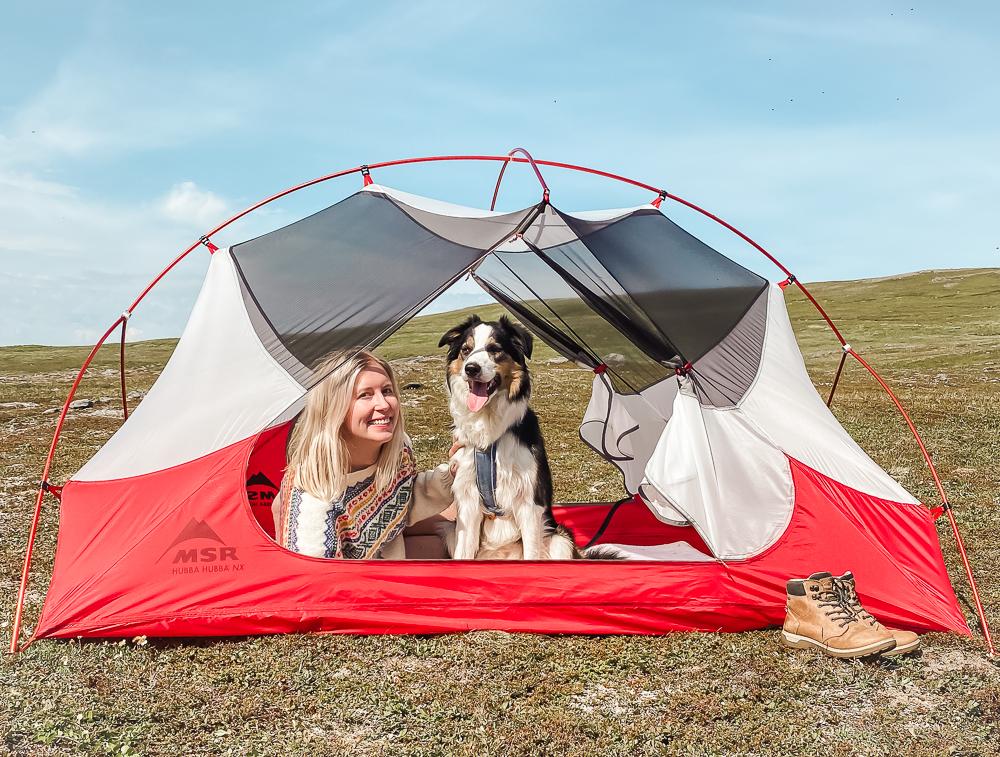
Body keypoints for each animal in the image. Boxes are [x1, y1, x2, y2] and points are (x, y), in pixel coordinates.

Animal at [436, 314, 580, 560]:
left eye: (495, 349)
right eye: (466, 349)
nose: (471, 368)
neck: (489, 433)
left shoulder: (530, 503)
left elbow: (532, 554)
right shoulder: (467, 501)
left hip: (561, 539)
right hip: (450, 531)